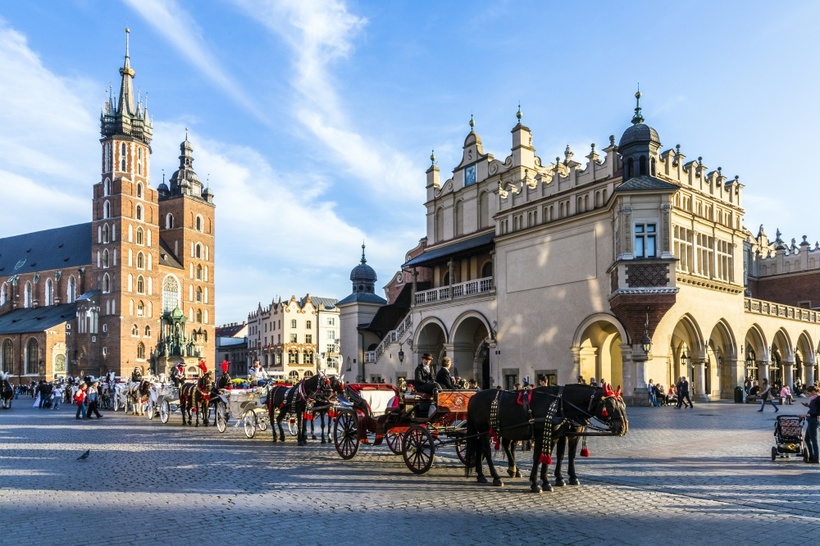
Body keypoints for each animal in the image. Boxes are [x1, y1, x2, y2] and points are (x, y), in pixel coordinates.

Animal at [468, 380, 628, 490]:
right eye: (610, 406)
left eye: (623, 405)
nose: (622, 428)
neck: (560, 404)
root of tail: (474, 397)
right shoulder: (544, 435)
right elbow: (541, 457)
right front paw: (536, 483)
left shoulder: (558, 435)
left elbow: (558, 456)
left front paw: (549, 482)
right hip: (484, 430)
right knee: (486, 451)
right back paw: (495, 477)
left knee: (489, 448)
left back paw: (486, 474)